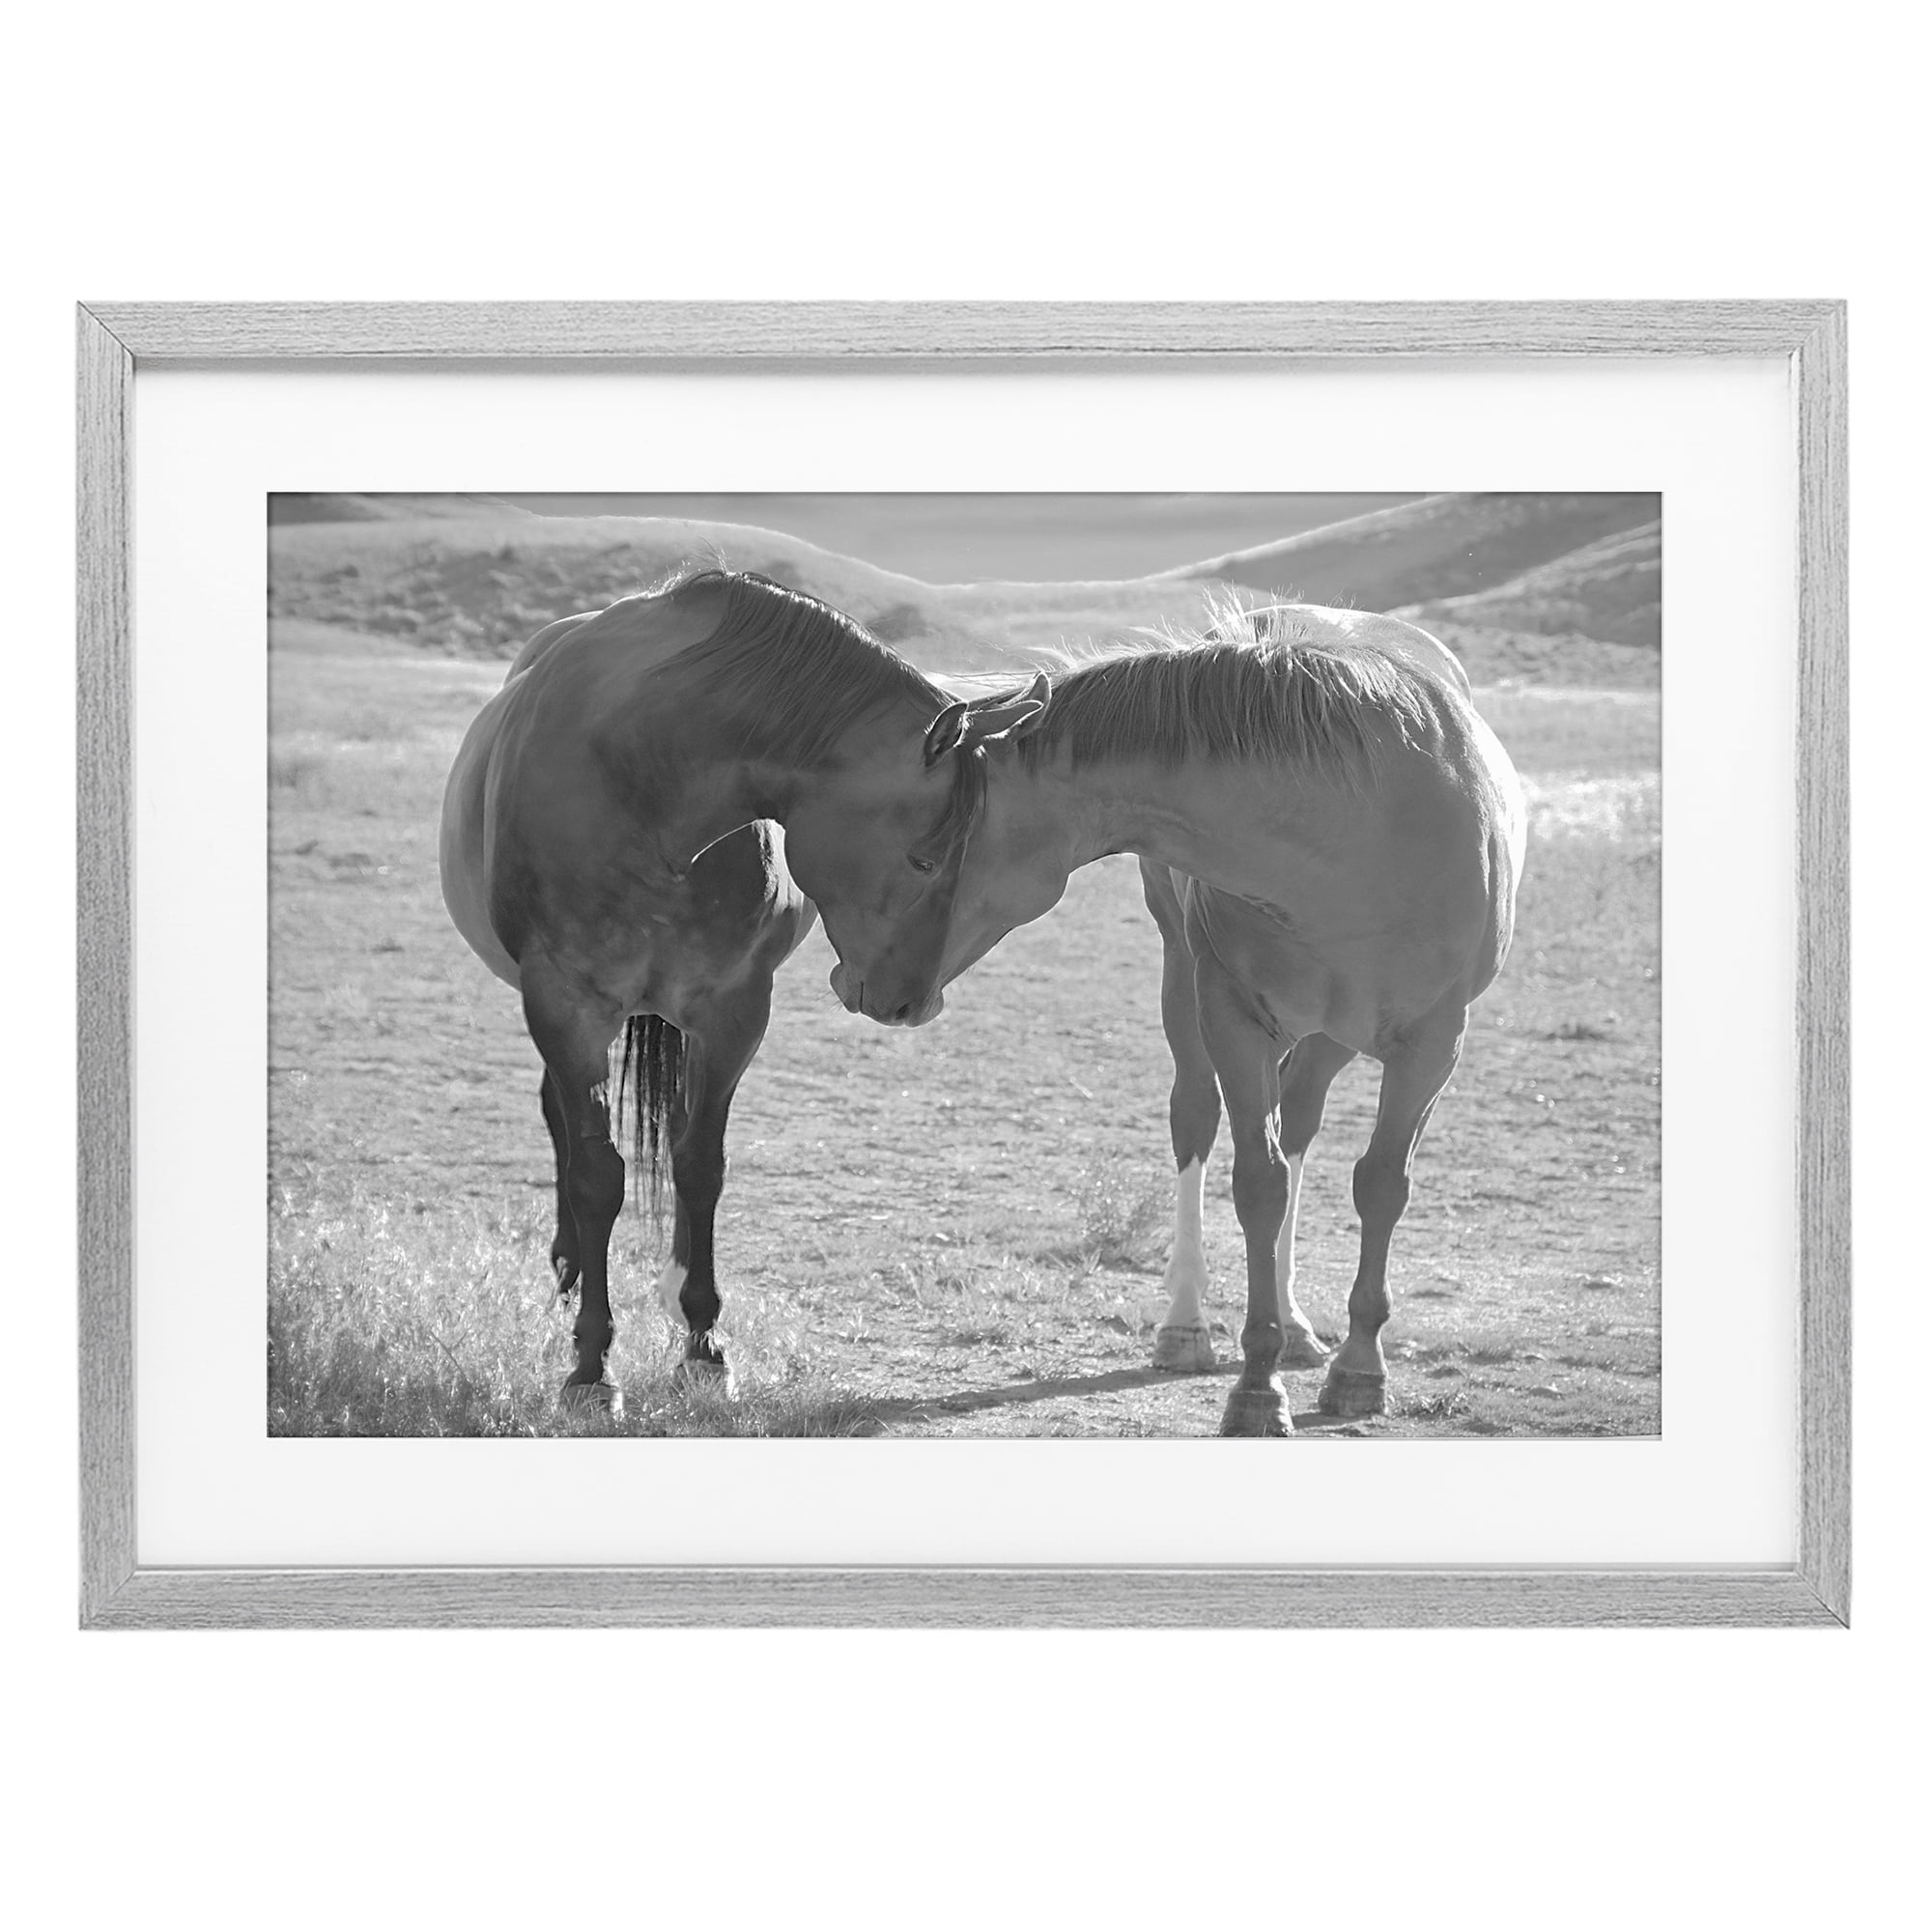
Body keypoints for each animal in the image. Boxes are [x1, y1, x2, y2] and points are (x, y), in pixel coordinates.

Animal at [438, 566, 1038, 1408]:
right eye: (925, 857)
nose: (912, 1003)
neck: (644, 781)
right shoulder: (564, 1005)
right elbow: (596, 1175)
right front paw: (591, 1365)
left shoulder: (732, 1011)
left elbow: (700, 1165)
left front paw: (702, 1343)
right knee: (561, 1119)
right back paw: (568, 1268)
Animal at [834, 596, 1527, 1438]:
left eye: (923, 856)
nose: (859, 984)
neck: (1356, 828)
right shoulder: (1232, 1017)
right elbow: (1258, 1184)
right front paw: (1257, 1386)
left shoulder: (1433, 1044)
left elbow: (1380, 1186)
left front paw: (1360, 1368)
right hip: (1187, 983)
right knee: (1197, 1118)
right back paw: (1188, 1325)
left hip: (1332, 1034)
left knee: (1301, 1124)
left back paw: (1301, 1326)